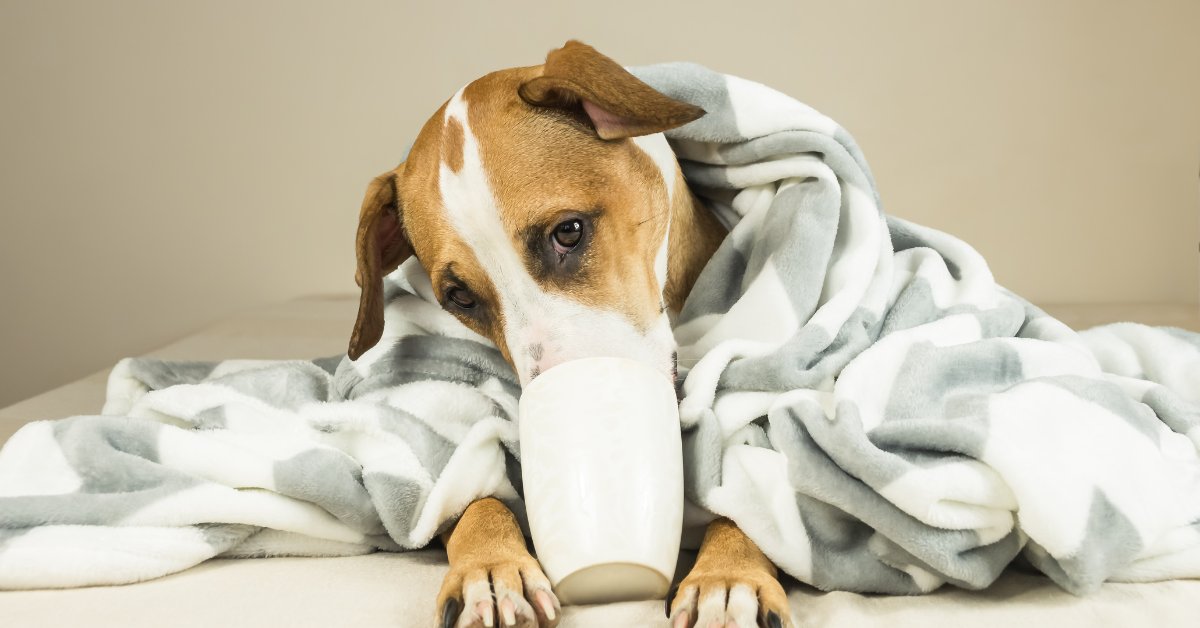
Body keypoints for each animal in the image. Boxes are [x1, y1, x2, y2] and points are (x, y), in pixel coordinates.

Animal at [348, 40, 792, 628]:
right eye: (460, 297)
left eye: (568, 232)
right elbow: (469, 491)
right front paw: (491, 566)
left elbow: (755, 497)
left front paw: (728, 575)